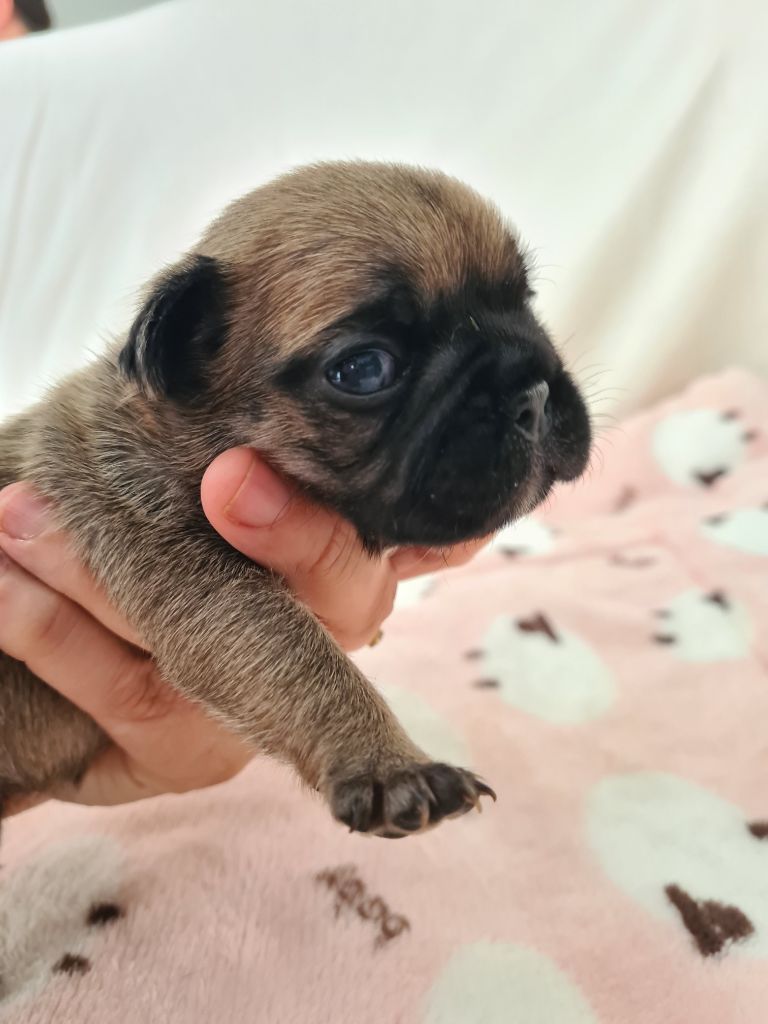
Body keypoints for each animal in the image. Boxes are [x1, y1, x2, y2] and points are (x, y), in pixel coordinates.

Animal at [0, 161, 591, 837]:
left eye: (527, 304)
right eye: (364, 370)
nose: (534, 394)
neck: (182, 429)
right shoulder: (182, 563)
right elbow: (293, 652)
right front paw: (388, 763)